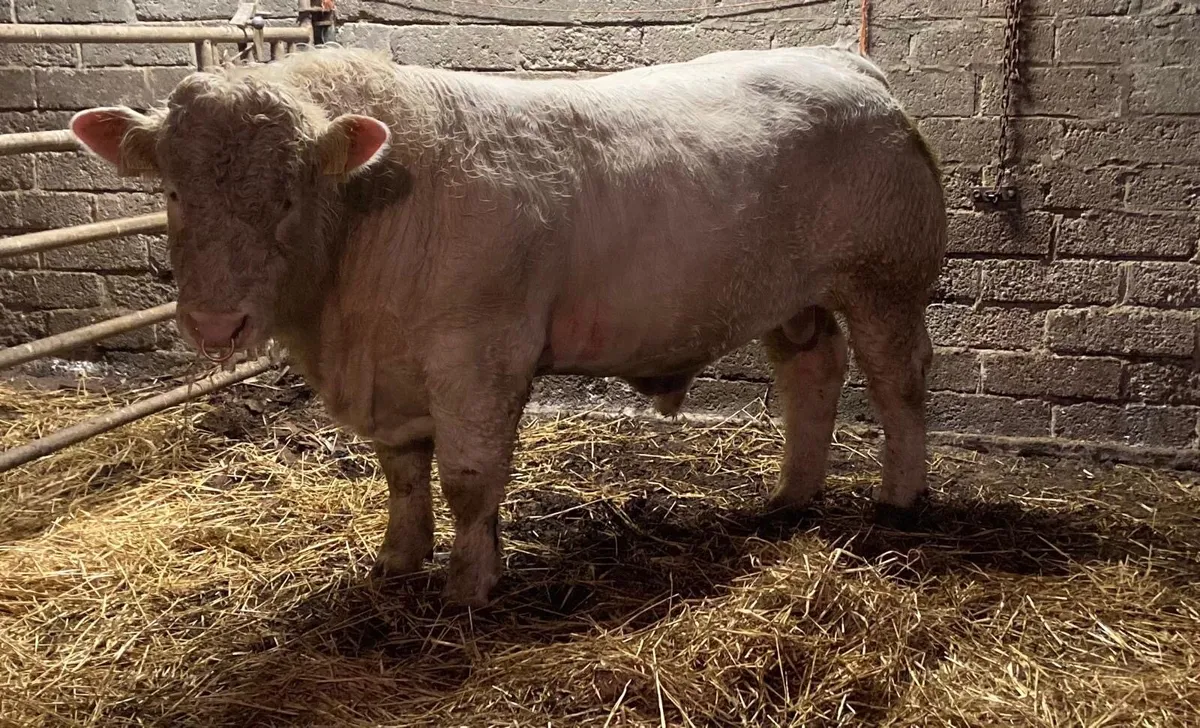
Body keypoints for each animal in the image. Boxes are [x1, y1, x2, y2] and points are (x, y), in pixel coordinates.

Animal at [70, 44, 948, 607]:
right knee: (813, 372)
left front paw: (469, 586)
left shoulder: (479, 354)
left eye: (288, 195)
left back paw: (899, 501)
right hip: (792, 296)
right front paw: (398, 561)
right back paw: (791, 497)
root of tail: (847, 62)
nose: (217, 322)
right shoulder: (396, 373)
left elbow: (467, 478)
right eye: (173, 192)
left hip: (887, 279)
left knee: (897, 381)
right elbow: (402, 473)